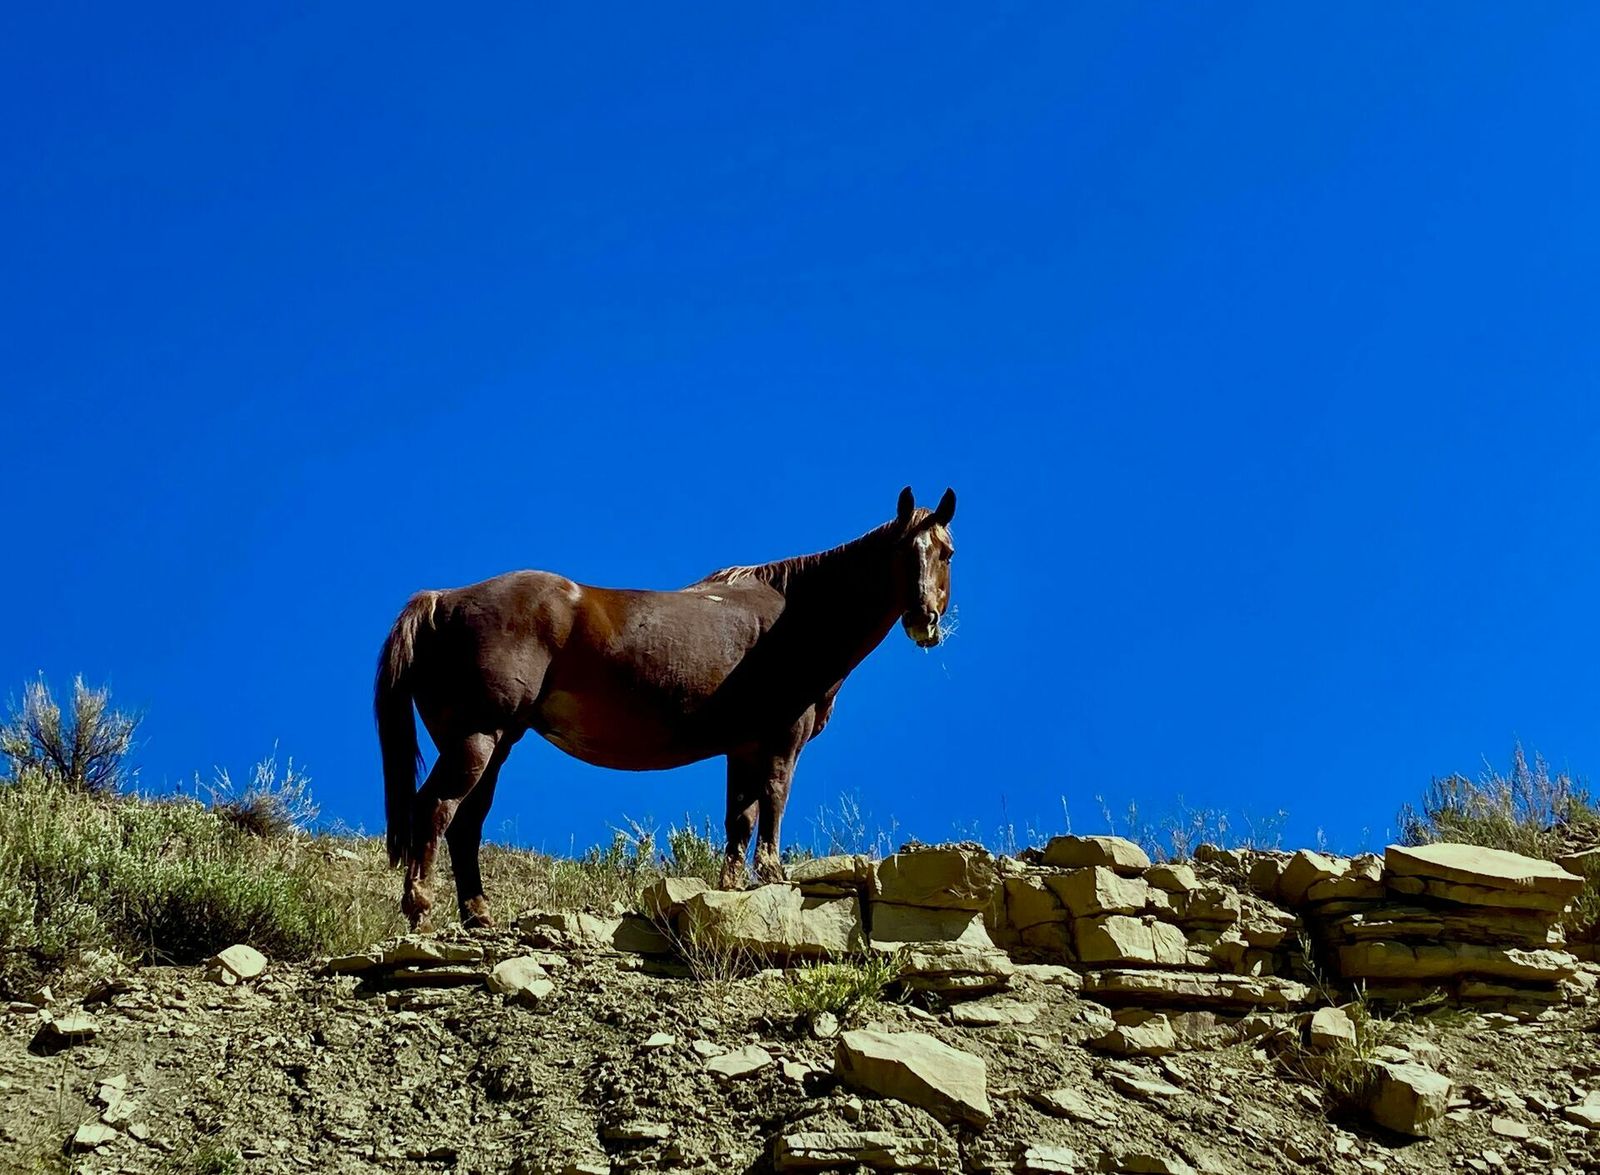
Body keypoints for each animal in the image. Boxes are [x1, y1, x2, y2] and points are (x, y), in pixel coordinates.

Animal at [374, 486, 956, 930]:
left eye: (945, 552)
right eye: (906, 551)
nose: (924, 620)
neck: (795, 616)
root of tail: (441, 600)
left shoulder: (742, 747)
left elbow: (739, 820)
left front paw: (733, 890)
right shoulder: (781, 739)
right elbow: (773, 803)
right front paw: (771, 877)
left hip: (492, 744)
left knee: (465, 824)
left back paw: (477, 914)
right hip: (478, 737)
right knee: (436, 809)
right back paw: (420, 908)